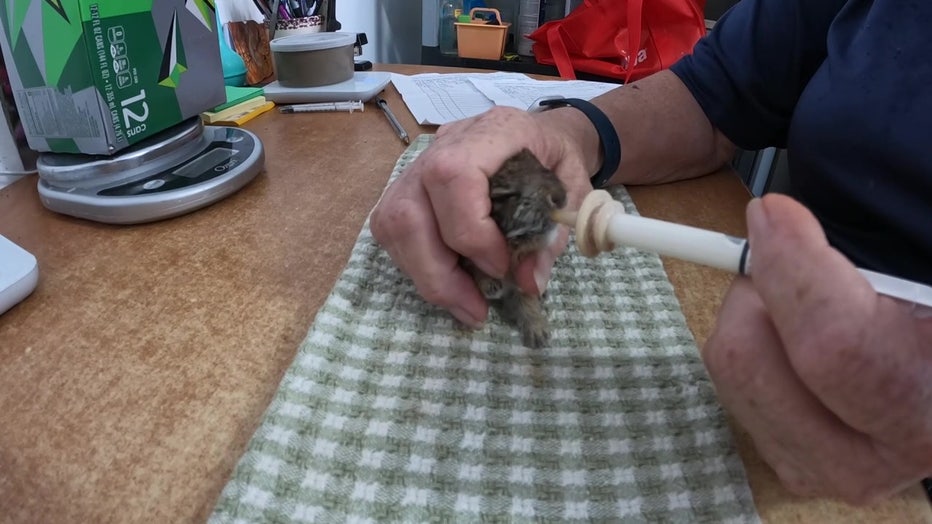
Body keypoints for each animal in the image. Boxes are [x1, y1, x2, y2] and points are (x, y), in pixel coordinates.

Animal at [460, 148, 568, 348]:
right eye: (505, 196)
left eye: (546, 169)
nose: (560, 197)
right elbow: (477, 269)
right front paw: (490, 285)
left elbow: (527, 301)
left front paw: (538, 334)